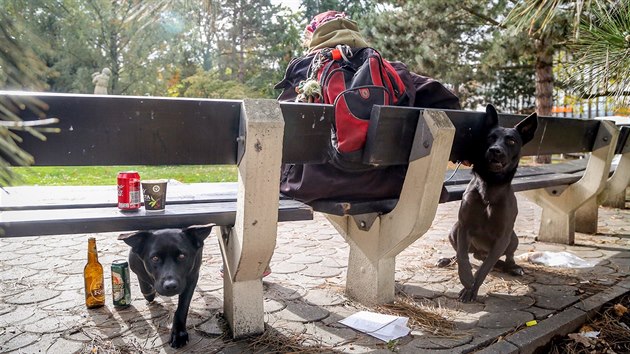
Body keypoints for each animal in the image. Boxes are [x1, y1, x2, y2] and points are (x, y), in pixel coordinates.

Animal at [440, 104, 540, 302]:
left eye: (511, 141)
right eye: (490, 138)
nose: (495, 150)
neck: (490, 186)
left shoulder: (502, 237)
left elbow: (485, 267)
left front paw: (472, 288)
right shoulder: (464, 227)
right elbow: (462, 256)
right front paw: (466, 279)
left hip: (513, 238)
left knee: (506, 257)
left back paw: (512, 267)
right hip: (453, 230)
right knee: (463, 254)